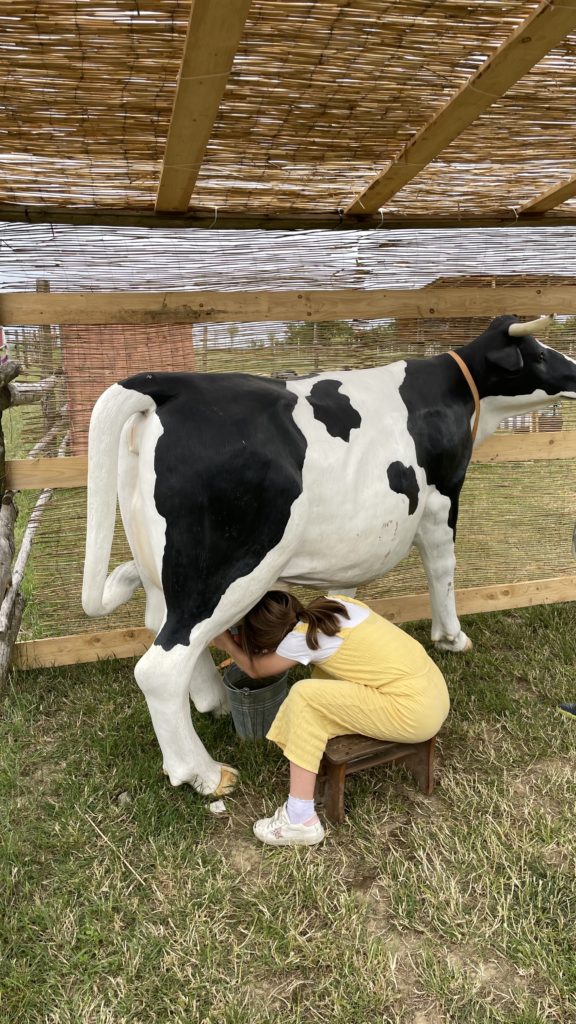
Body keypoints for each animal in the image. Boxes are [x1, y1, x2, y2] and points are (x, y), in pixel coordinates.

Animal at [82, 313, 576, 798]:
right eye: (537, 353)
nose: (575, 371)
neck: (453, 392)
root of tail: (175, 385)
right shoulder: (441, 498)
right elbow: (442, 567)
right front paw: (452, 638)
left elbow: (345, 591)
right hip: (227, 570)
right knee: (161, 666)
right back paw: (204, 774)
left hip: (164, 569)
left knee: (161, 626)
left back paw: (215, 703)